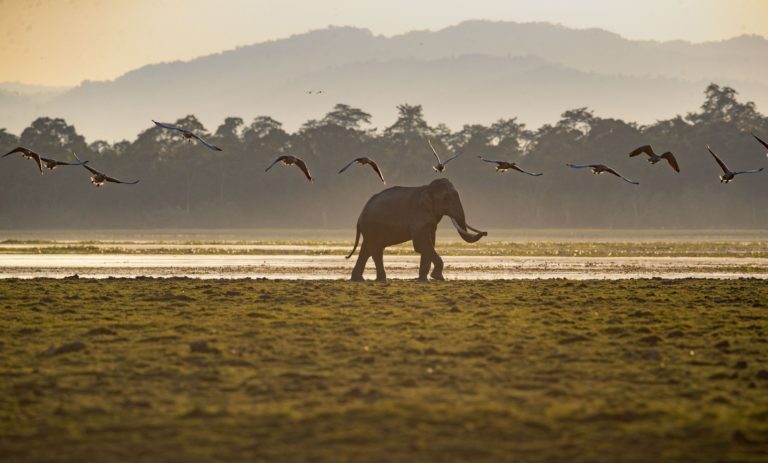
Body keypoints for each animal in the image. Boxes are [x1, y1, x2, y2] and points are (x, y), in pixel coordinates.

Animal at [346, 178, 486, 280]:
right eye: (446, 198)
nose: (485, 233)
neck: (428, 188)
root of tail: (360, 217)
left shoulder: (430, 220)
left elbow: (429, 242)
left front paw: (424, 279)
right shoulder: (419, 215)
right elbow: (421, 243)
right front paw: (438, 277)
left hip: (371, 229)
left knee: (367, 249)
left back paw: (359, 279)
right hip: (372, 228)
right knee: (375, 250)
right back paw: (381, 279)